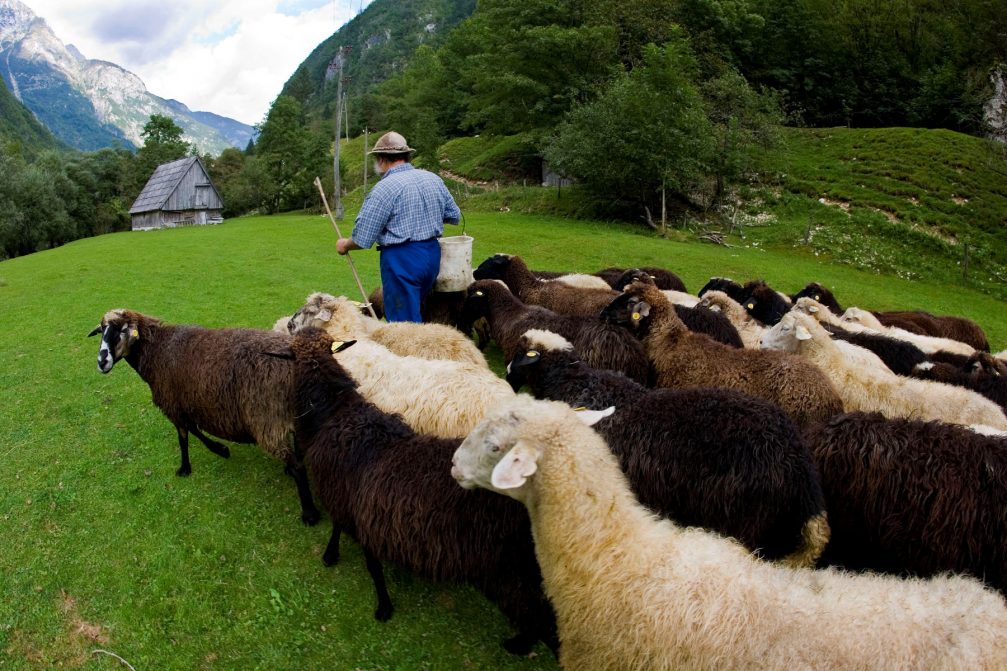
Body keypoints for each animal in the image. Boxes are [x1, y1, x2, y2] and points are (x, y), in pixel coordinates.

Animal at [271, 328, 559, 652]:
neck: (337, 413)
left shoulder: (351, 504)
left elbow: (364, 556)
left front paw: (381, 604)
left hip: (511, 573)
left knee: (543, 621)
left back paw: (518, 646)